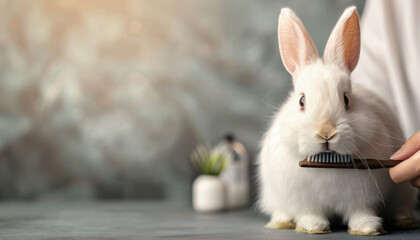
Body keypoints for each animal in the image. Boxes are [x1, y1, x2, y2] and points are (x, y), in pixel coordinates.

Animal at [258, 6, 418, 235]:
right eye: (301, 101)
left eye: (346, 99)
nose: (326, 132)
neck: (328, 166)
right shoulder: (304, 201)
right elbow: (309, 213)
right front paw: (314, 227)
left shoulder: (362, 198)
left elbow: (360, 212)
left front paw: (367, 228)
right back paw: (282, 221)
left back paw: (403, 219)